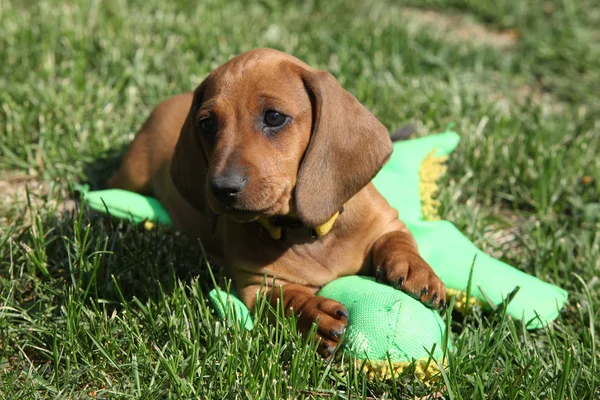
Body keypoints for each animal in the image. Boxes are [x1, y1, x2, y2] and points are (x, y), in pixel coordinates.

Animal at [109, 48, 446, 358]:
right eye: (206, 125)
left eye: (273, 117)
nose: (222, 189)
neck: (310, 233)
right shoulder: (257, 285)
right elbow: (285, 299)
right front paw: (314, 315)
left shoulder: (386, 222)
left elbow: (397, 240)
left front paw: (417, 270)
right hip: (130, 175)